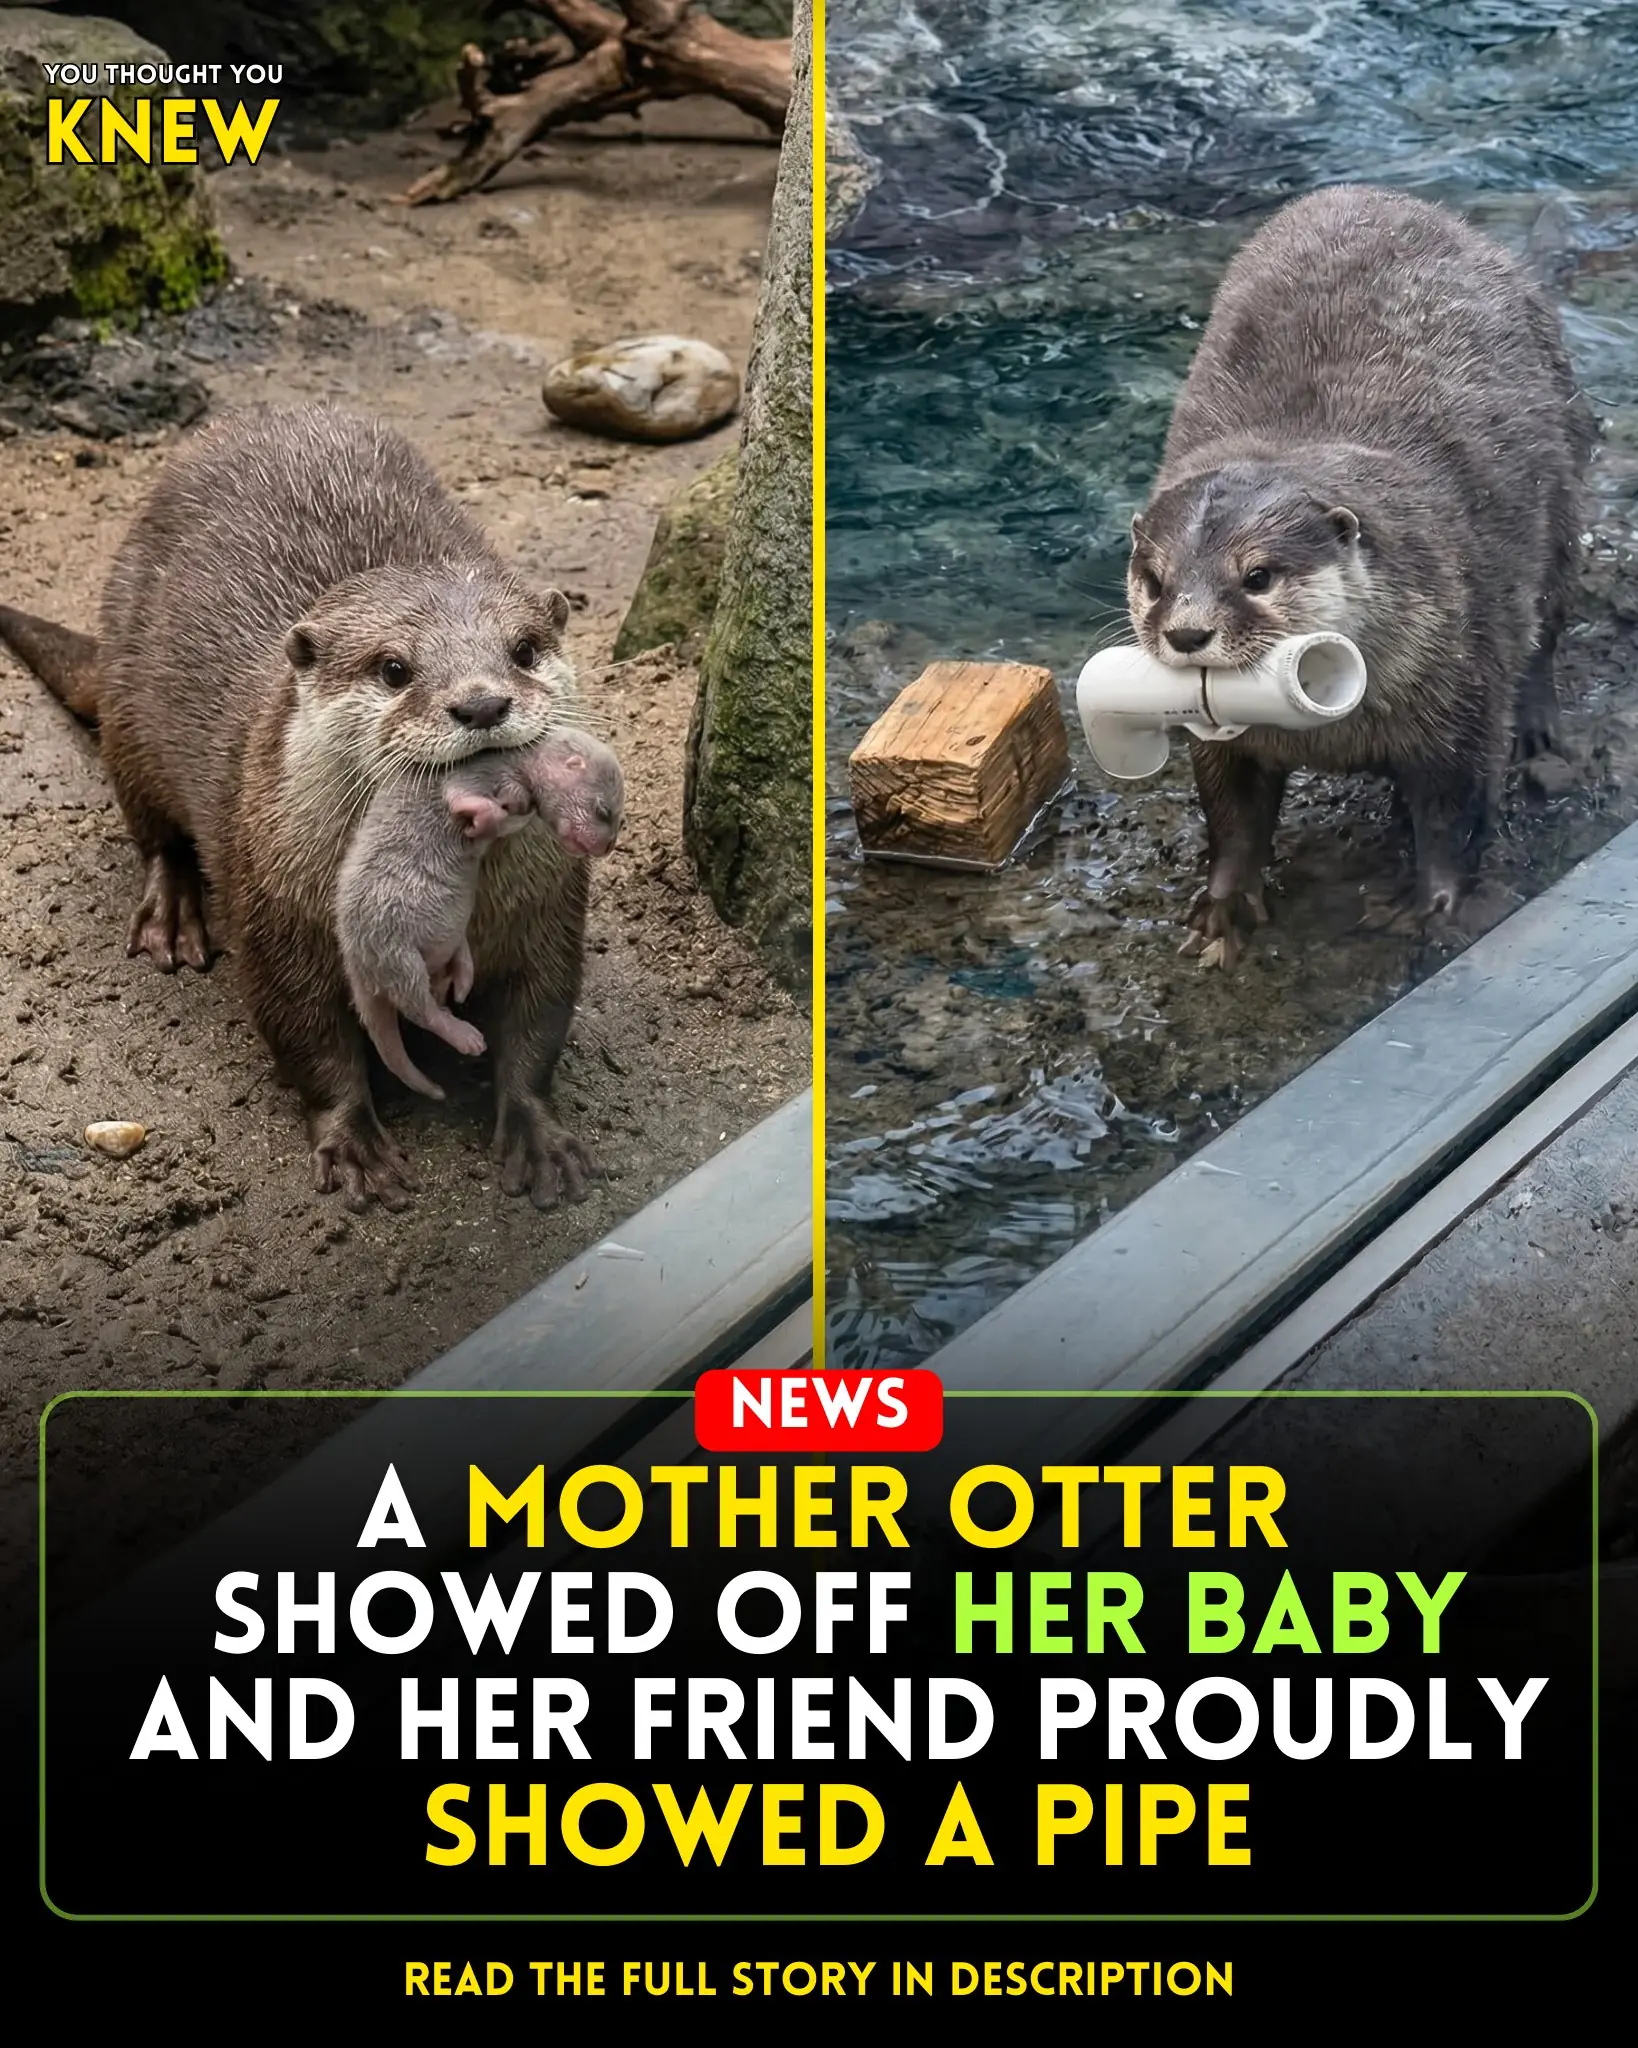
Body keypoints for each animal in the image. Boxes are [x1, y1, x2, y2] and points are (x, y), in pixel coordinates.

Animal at [338, 728, 624, 1103]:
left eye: (620, 817)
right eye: (604, 811)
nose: (608, 846)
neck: (520, 761)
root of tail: (356, 968)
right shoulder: (477, 774)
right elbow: (465, 801)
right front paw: (486, 816)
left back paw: (461, 979)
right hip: (392, 952)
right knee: (418, 1008)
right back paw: (464, 1034)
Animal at [1126, 184, 1594, 968]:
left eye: (1258, 575)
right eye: (1156, 581)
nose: (1188, 633)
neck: (1332, 733)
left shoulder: (1461, 685)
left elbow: (1456, 807)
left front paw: (1430, 901)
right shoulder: (1227, 749)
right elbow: (1230, 814)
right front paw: (1223, 908)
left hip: (1562, 508)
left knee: (1545, 629)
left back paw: (1536, 731)